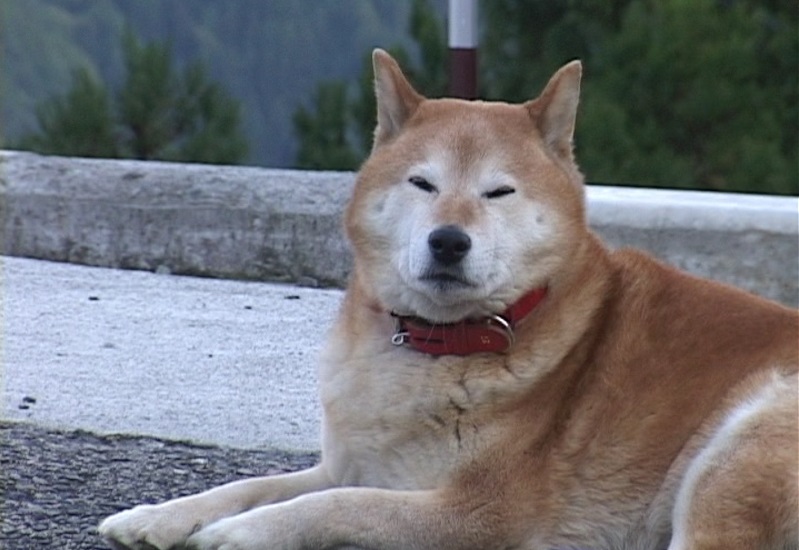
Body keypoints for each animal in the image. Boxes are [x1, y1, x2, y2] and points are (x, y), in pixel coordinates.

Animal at [97, 49, 796, 548]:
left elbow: (336, 505)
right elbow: (256, 484)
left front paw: (240, 533)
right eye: (423, 183)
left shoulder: (477, 512)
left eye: (499, 192)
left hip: (744, 442)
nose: (449, 241)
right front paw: (159, 515)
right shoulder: (353, 462)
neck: (442, 343)